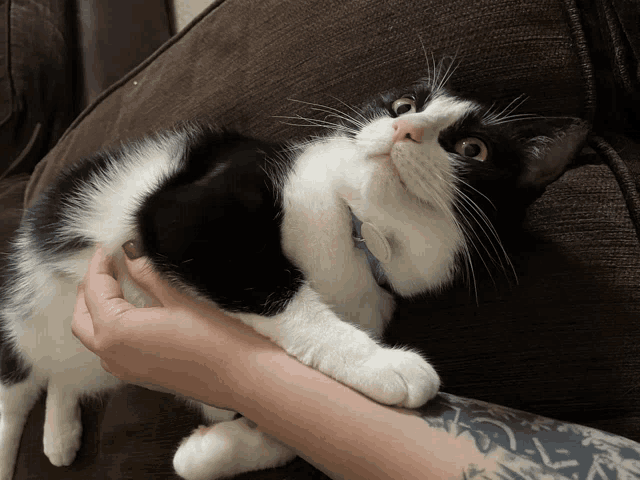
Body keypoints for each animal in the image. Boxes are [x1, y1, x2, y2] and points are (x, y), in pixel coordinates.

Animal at [0, 73, 588, 478]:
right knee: (17, 383)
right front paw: (386, 365)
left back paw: (59, 433)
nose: (403, 128)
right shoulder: (184, 213)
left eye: (473, 148)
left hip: (84, 356)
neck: (359, 232)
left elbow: (284, 416)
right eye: (404, 105)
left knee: (63, 376)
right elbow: (277, 293)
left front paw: (211, 451)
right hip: (26, 304)